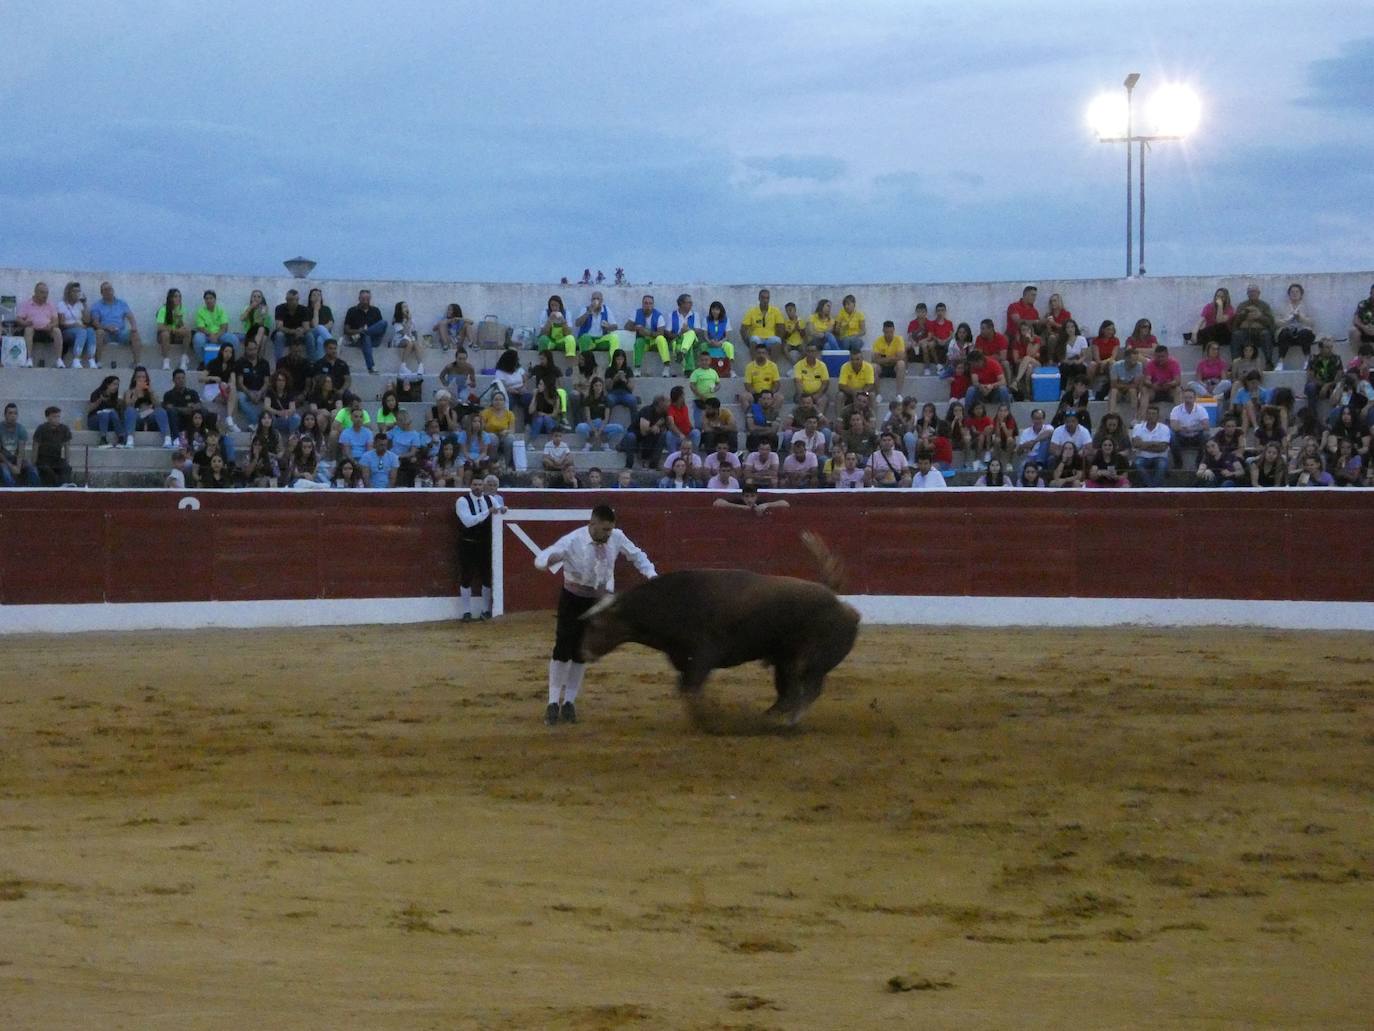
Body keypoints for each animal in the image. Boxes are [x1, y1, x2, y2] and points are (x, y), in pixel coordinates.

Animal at [577, 536, 857, 720]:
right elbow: (684, 689)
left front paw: (702, 717)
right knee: (788, 691)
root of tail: (837, 601)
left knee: (807, 689)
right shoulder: (684, 661)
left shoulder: (701, 657)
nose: (583, 653)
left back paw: (789, 722)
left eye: (596, 625)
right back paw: (769, 717)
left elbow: (691, 691)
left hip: (810, 660)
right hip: (784, 660)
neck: (671, 603)